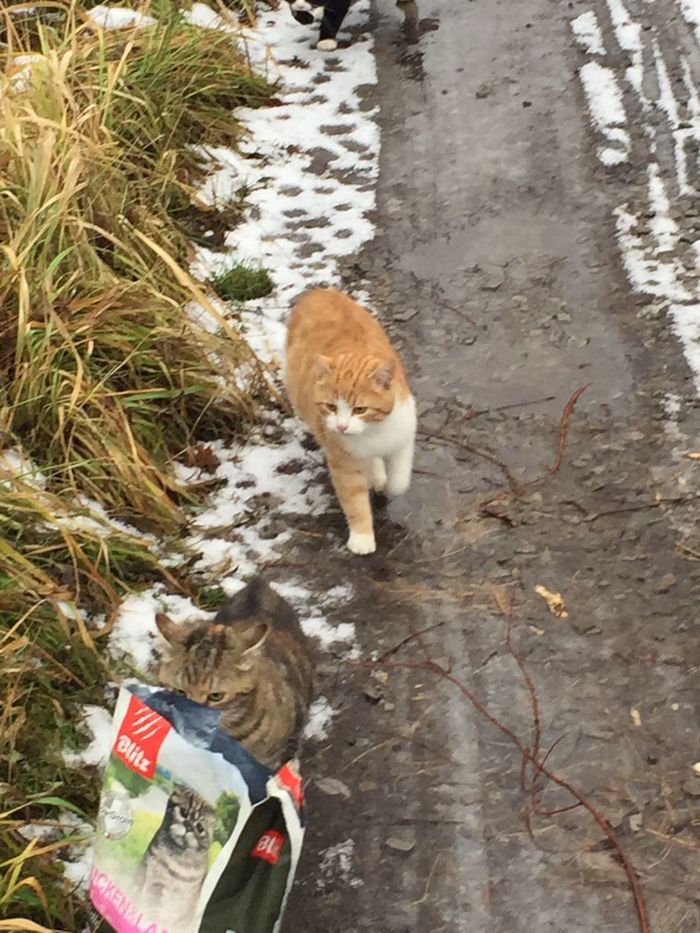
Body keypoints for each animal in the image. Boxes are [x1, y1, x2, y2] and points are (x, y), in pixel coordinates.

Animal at [284, 288, 416, 552]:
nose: (342, 426)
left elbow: (399, 480)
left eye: (360, 409)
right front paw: (362, 537)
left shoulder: (404, 437)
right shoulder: (343, 462)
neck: (373, 433)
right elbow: (354, 501)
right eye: (331, 407)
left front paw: (388, 482)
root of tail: (317, 291)